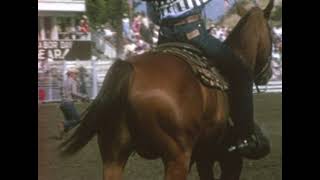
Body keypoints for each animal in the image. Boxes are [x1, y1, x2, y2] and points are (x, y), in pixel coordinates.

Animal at [60, 0, 276, 179]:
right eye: (273, 35)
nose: (268, 74)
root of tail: (129, 71)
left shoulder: (204, 156)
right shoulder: (227, 159)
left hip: (113, 156)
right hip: (177, 159)